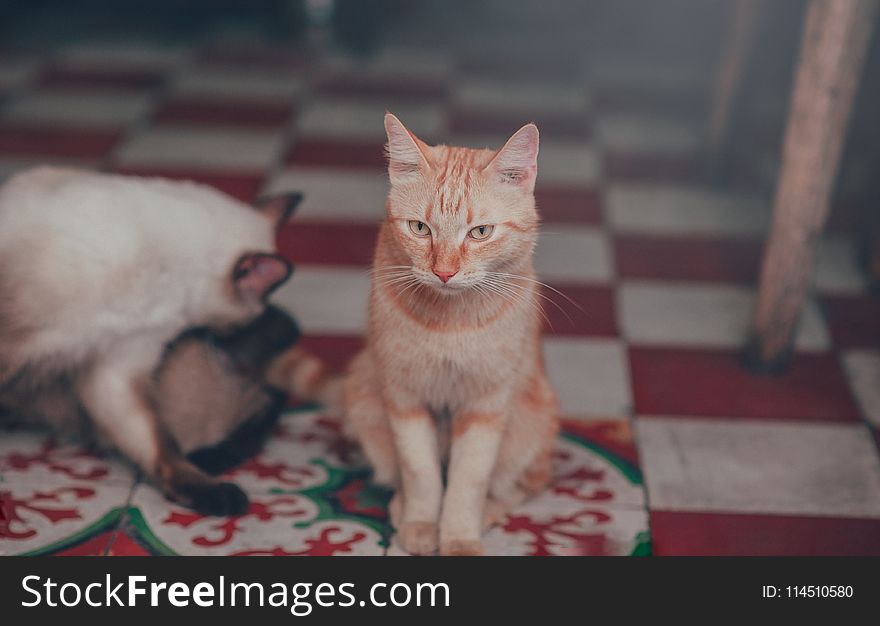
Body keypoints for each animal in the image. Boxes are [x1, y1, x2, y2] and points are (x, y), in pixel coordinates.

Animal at [342, 114, 556, 552]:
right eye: (420, 228)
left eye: (480, 232)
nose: (444, 272)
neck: (449, 322)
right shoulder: (404, 397)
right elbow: (421, 473)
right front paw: (421, 524)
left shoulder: (485, 407)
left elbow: (467, 482)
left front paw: (458, 537)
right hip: (364, 399)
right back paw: (400, 507)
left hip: (530, 421)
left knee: (523, 484)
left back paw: (489, 511)